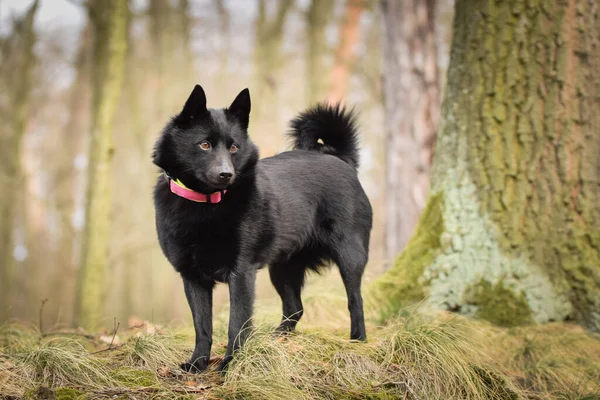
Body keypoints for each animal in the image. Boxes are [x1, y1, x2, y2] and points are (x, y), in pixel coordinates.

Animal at [152, 84, 372, 372]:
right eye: (204, 144)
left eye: (234, 147)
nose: (226, 174)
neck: (207, 203)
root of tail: (340, 159)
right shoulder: (192, 277)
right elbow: (202, 326)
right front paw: (198, 364)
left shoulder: (241, 273)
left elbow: (237, 323)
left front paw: (231, 363)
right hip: (282, 268)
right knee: (294, 308)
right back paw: (276, 341)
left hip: (350, 255)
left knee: (355, 300)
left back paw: (358, 340)